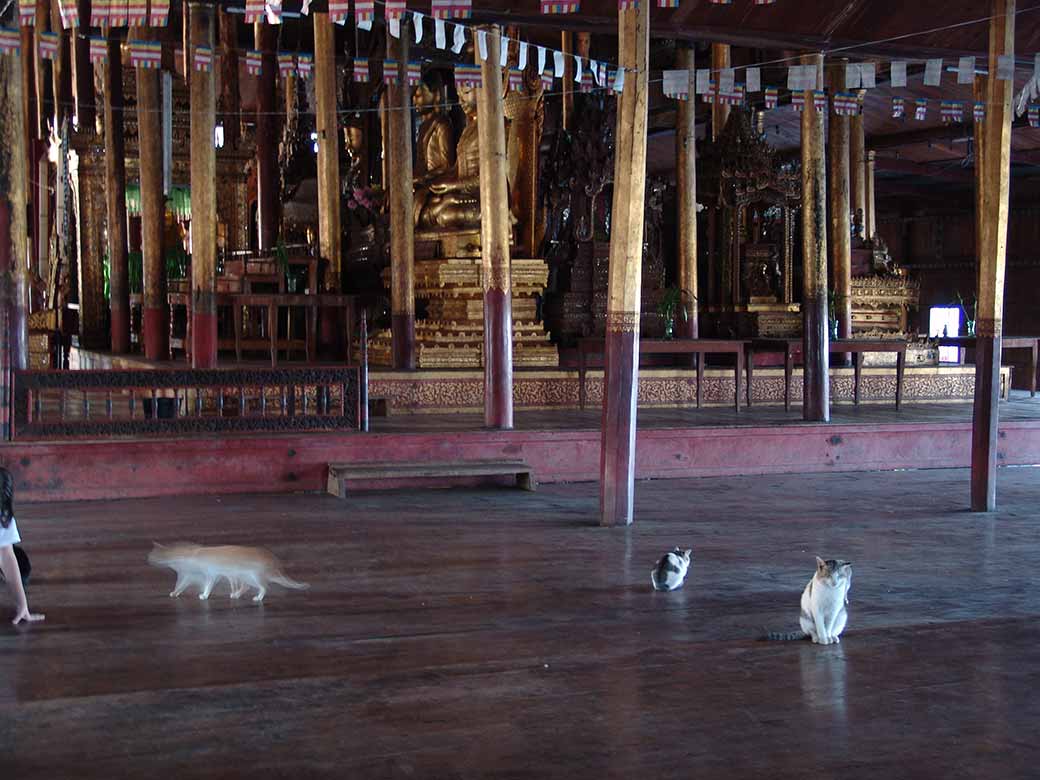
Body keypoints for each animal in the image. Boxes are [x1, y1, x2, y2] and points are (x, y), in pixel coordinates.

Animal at [148, 544, 307, 603]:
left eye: (153, 555)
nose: (148, 559)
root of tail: (273, 560)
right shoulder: (189, 575)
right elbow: (180, 586)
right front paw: (175, 592)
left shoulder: (211, 574)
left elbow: (208, 586)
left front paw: (204, 595)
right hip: (245, 576)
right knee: (247, 587)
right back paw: (236, 595)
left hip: (253, 575)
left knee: (264, 587)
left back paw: (257, 597)